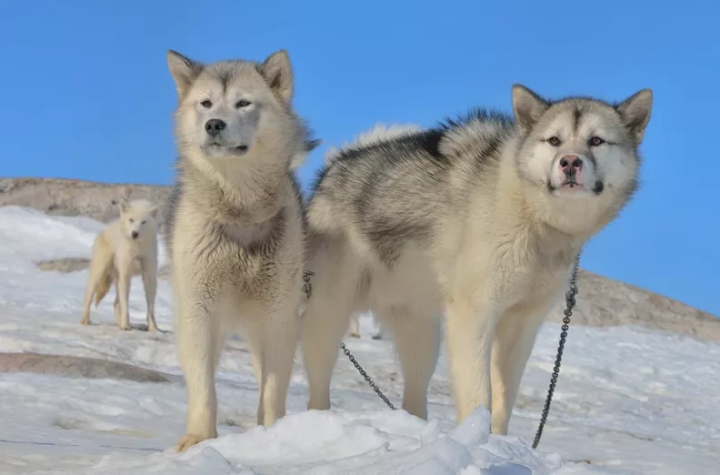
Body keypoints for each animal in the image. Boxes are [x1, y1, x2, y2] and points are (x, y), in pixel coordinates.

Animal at [81, 199, 160, 332]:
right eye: (131, 220)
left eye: (143, 222)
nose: (134, 233)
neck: (137, 250)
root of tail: (104, 230)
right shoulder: (125, 276)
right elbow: (126, 306)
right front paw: (126, 326)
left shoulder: (149, 276)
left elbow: (151, 308)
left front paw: (153, 328)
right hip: (99, 275)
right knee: (88, 297)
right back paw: (85, 321)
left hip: (117, 280)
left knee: (115, 304)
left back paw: (119, 325)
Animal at [166, 49, 318, 454]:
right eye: (205, 103)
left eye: (243, 103)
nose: (214, 125)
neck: (240, 212)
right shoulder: (198, 312)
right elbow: (203, 385)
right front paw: (199, 440)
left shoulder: (278, 318)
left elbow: (273, 388)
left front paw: (273, 435)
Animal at [300, 84, 656, 436]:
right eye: (554, 140)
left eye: (596, 140)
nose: (569, 162)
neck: (533, 218)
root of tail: (334, 167)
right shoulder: (474, 315)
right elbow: (478, 395)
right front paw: (477, 440)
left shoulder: (521, 326)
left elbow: (503, 400)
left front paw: (498, 444)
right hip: (328, 318)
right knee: (317, 387)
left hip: (422, 337)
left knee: (414, 395)